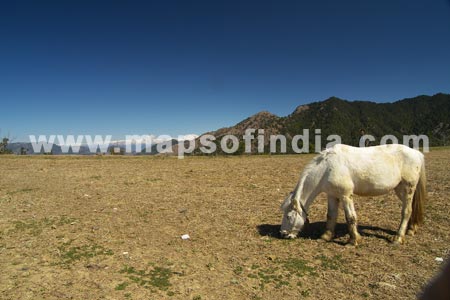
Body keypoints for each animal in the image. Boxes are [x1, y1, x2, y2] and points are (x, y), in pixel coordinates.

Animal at [282, 144, 426, 245]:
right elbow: (331, 215)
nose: (283, 234)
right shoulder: (332, 195)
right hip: (400, 190)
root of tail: (417, 153)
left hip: (407, 188)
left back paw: (398, 237)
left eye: (289, 216)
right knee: (412, 209)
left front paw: (354, 240)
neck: (327, 167)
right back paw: (411, 229)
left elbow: (350, 217)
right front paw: (326, 236)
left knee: (407, 211)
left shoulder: (346, 196)